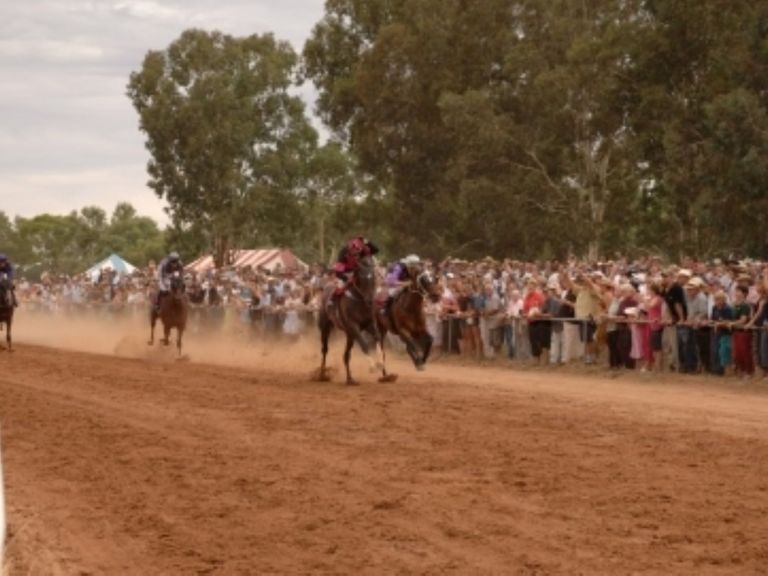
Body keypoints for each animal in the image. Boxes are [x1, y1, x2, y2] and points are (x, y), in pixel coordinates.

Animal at [316, 254, 396, 384]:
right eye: (362, 278)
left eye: (373, 278)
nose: (370, 300)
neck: (359, 301)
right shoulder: (353, 326)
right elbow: (364, 344)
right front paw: (372, 366)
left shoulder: (369, 324)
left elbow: (378, 338)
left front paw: (381, 365)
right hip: (325, 327)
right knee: (325, 349)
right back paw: (322, 374)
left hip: (349, 335)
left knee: (346, 355)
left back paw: (350, 379)